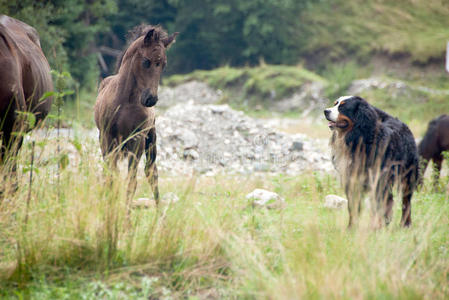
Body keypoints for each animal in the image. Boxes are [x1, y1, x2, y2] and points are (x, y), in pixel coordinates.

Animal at [324, 96, 418, 227]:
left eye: (343, 107)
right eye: (335, 104)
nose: (325, 111)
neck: (358, 140)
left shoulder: (378, 180)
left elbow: (379, 206)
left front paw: (376, 227)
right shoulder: (352, 181)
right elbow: (353, 207)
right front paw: (352, 227)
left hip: (408, 176)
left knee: (406, 201)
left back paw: (406, 224)